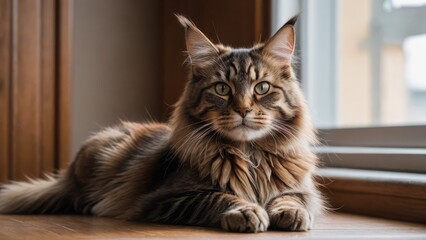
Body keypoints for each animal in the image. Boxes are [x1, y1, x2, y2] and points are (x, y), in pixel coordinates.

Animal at [0, 15, 322, 232]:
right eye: (222, 89)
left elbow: (292, 199)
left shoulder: (301, 189)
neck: (250, 154)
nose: (242, 109)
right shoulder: (169, 196)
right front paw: (246, 211)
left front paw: (290, 214)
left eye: (262, 88)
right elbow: (220, 196)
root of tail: (67, 174)